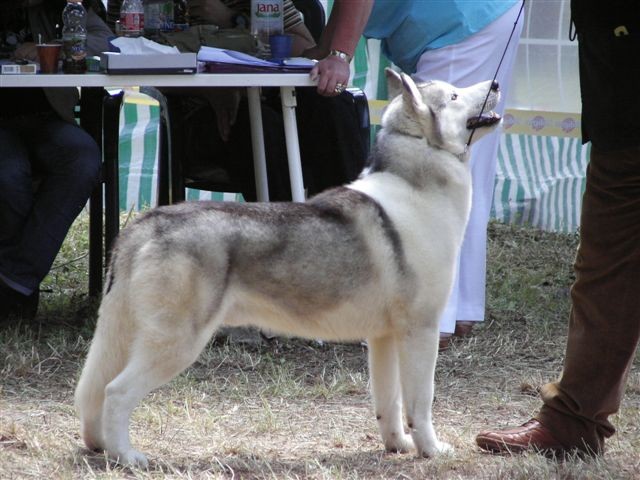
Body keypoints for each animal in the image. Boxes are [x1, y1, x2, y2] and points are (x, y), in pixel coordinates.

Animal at [76, 69, 500, 466]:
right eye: (454, 95)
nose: (495, 85)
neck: (417, 189)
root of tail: (147, 222)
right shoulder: (420, 330)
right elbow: (421, 403)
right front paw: (431, 450)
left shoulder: (384, 338)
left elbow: (389, 403)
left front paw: (397, 446)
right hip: (177, 343)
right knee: (116, 391)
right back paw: (125, 456)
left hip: (130, 335)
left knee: (94, 391)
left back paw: (99, 445)